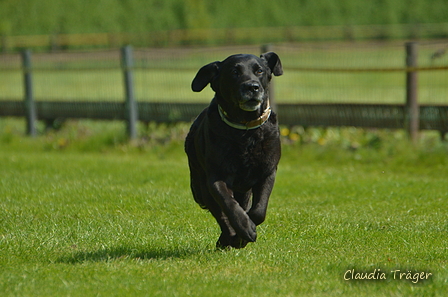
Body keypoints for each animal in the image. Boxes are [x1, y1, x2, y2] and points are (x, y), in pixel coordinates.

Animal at [184, 52, 282, 247]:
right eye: (234, 72)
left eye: (259, 70)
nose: (252, 87)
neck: (245, 131)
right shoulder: (216, 178)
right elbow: (228, 205)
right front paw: (244, 229)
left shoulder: (268, 171)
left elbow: (258, 211)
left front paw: (246, 231)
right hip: (202, 184)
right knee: (220, 213)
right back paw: (227, 237)